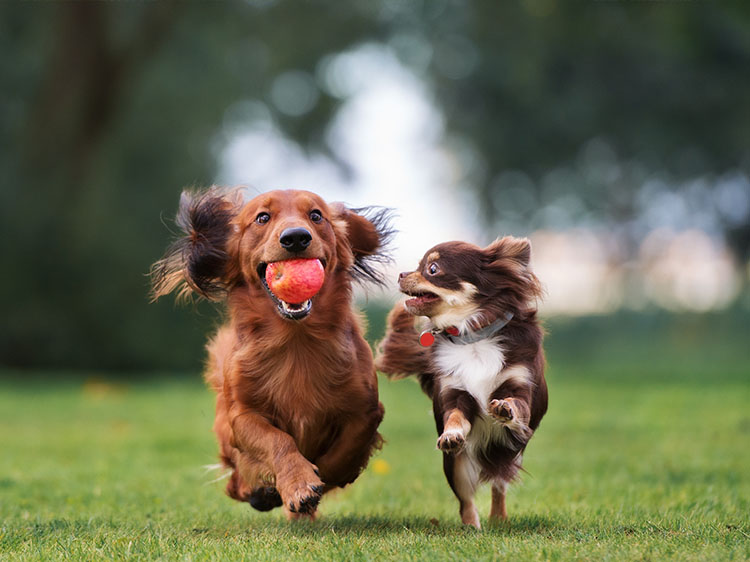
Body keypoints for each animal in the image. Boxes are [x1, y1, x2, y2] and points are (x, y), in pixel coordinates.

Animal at [150, 187, 390, 516]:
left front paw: (318, 479)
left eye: (316, 215)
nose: (296, 237)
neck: (296, 341)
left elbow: (344, 452)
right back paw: (262, 492)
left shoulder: (366, 410)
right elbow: (278, 440)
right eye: (262, 217)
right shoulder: (242, 416)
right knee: (235, 483)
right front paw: (298, 483)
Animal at [378, 235, 548, 524]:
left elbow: (516, 404)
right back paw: (472, 526)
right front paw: (452, 434)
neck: (472, 337)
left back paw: (498, 518)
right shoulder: (455, 393)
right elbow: (456, 417)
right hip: (456, 466)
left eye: (432, 269)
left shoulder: (520, 387)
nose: (401, 274)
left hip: (509, 455)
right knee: (466, 500)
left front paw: (505, 408)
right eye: (418, 265)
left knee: (498, 485)